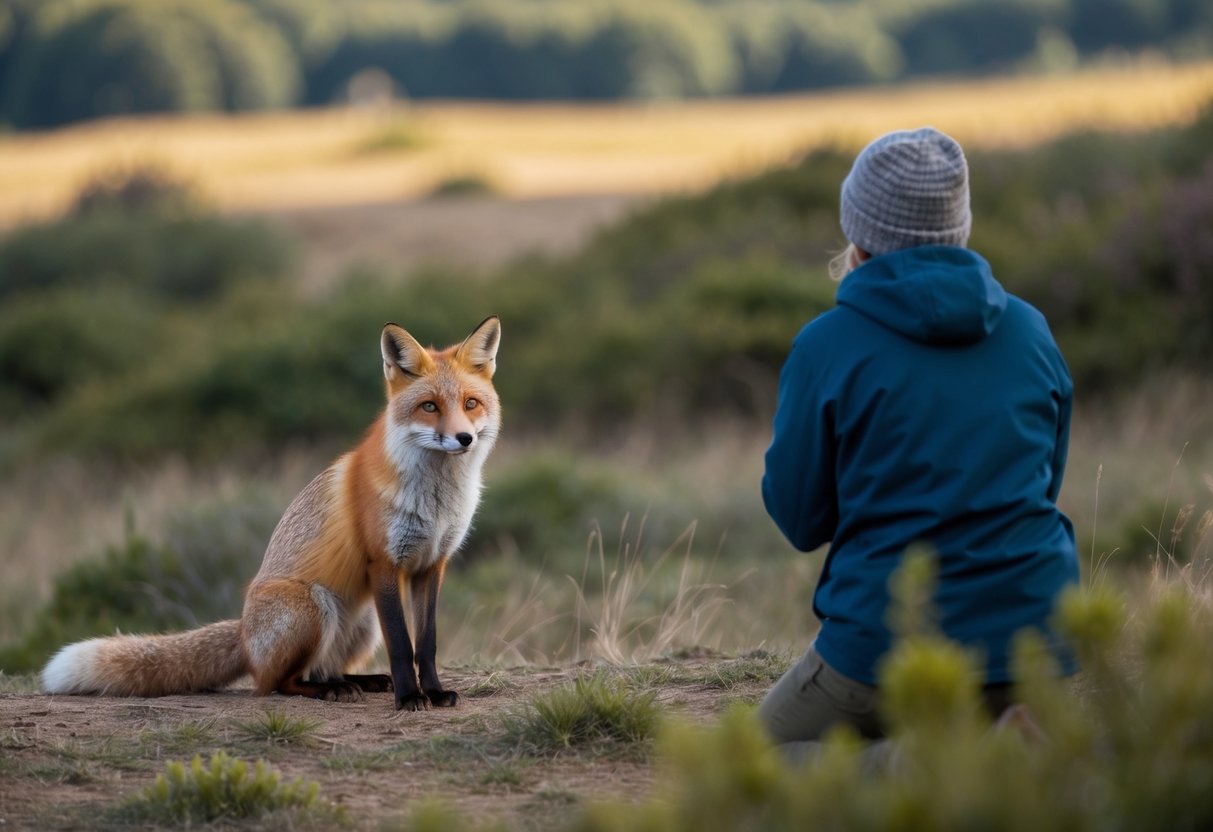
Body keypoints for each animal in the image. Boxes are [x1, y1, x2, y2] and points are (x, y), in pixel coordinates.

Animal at [41, 316, 502, 711]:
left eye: (470, 403)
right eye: (429, 407)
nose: (463, 438)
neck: (438, 500)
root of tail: (245, 635)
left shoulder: (432, 564)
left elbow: (427, 643)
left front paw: (434, 693)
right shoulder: (384, 563)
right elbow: (403, 647)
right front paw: (409, 698)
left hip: (362, 621)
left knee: (323, 668)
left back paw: (360, 681)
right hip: (314, 606)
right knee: (278, 684)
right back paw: (332, 690)